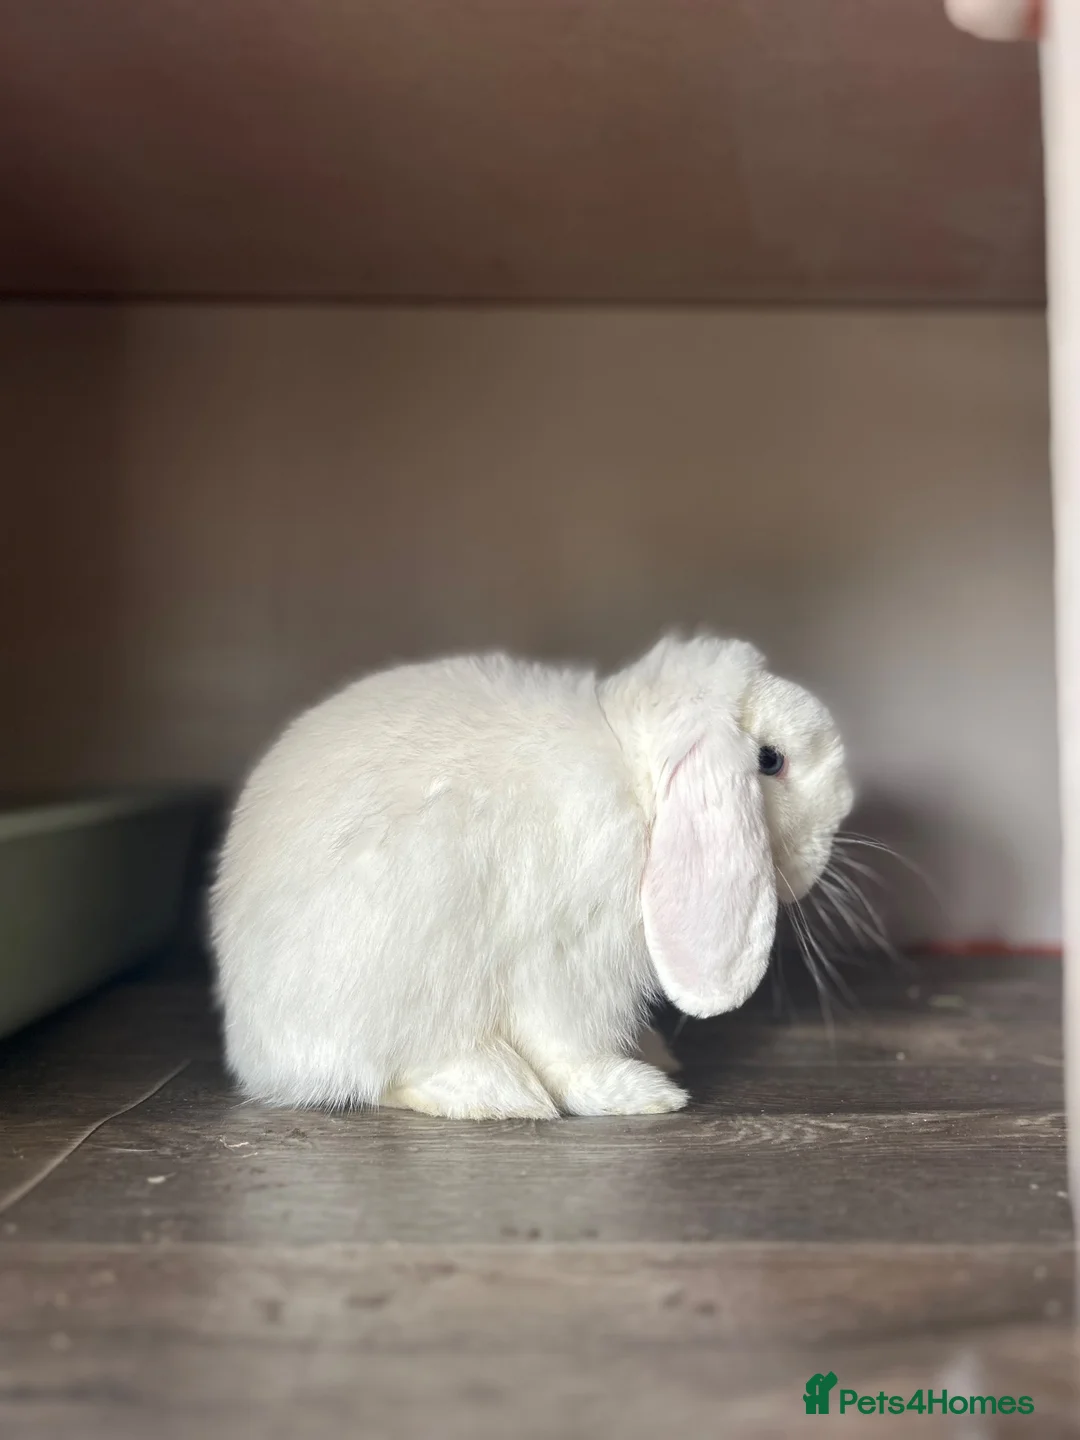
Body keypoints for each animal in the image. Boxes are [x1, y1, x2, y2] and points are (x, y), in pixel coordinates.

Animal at [210, 634, 854, 1119]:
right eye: (771, 760)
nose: (841, 814)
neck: (635, 779)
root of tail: (253, 1049)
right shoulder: (569, 964)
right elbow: (569, 1048)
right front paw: (636, 1093)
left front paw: (653, 1058)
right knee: (392, 1067)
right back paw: (498, 1090)